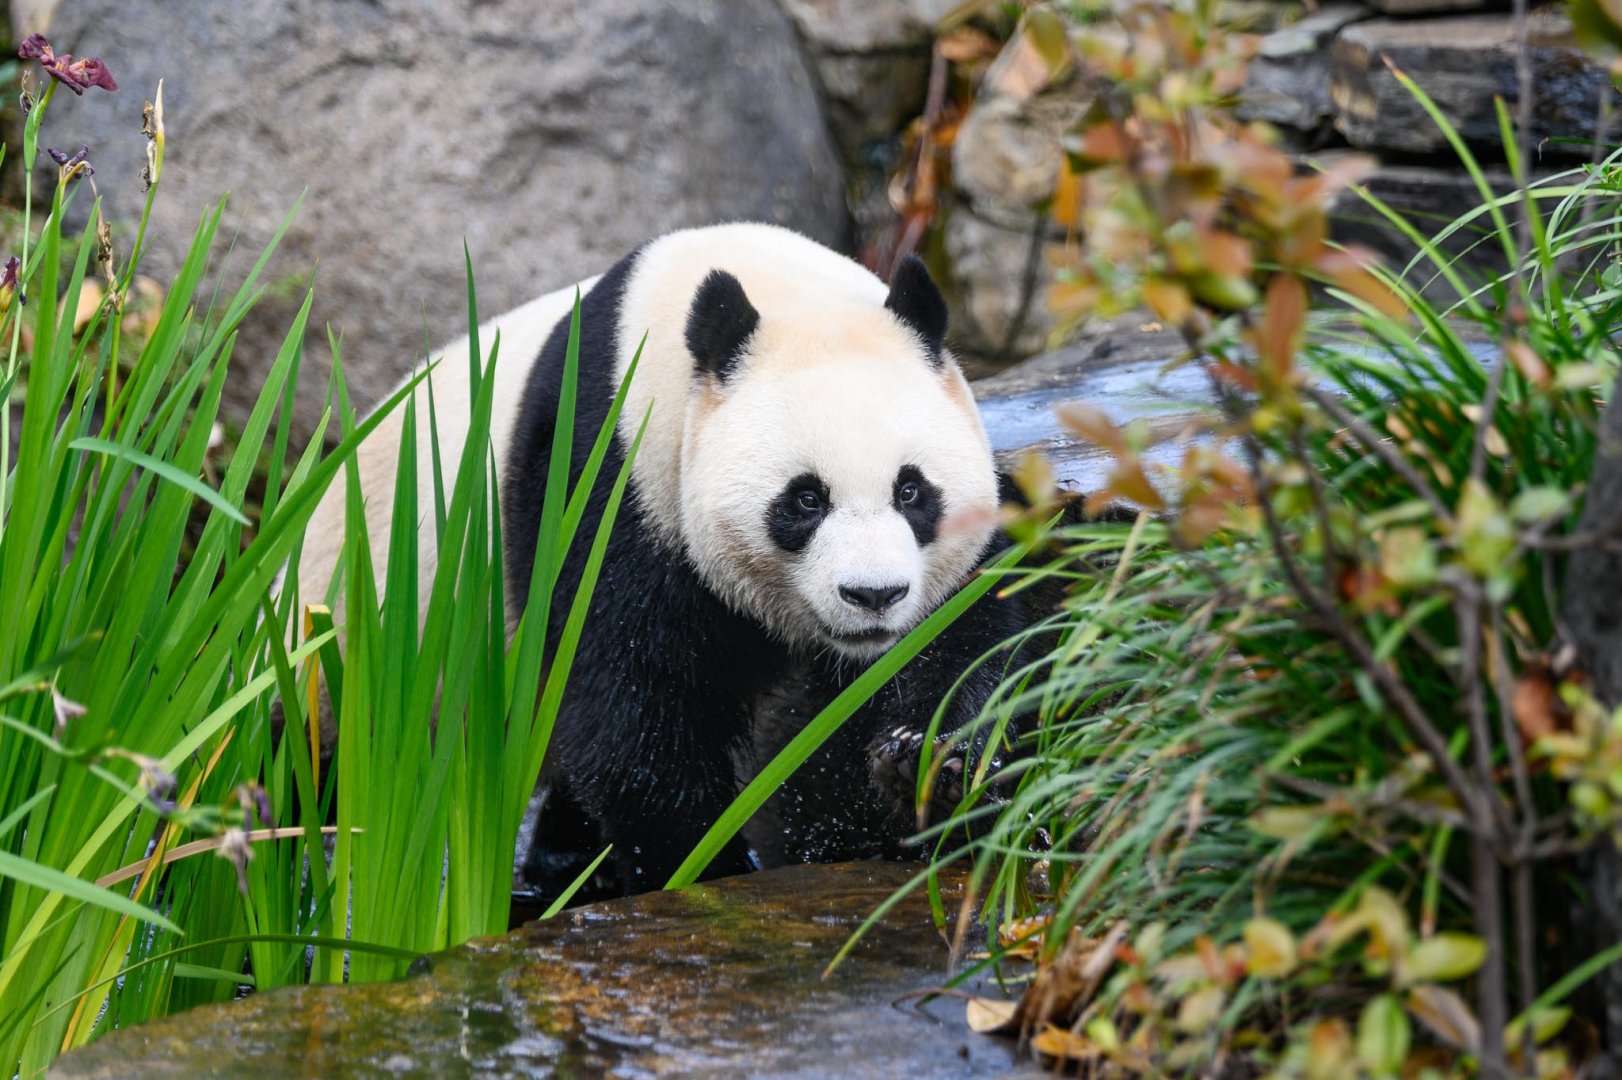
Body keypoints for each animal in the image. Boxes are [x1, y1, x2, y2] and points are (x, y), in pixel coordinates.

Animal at [294, 222, 1038, 894]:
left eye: (912, 490)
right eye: (804, 501)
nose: (874, 595)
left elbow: (970, 630)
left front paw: (929, 764)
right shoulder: (605, 478)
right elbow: (630, 704)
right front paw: (711, 864)